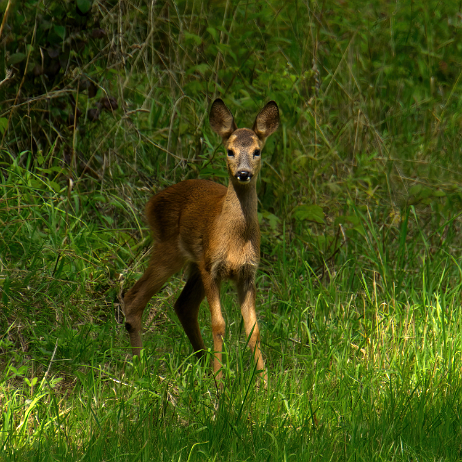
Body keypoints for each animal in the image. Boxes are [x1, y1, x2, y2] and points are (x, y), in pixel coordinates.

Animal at [122, 98, 280, 382]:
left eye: (257, 151)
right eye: (229, 151)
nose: (243, 173)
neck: (235, 240)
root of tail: (151, 203)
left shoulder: (247, 273)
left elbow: (254, 330)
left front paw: (263, 383)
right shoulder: (212, 268)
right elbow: (218, 324)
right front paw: (219, 381)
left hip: (194, 264)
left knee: (182, 305)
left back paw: (201, 362)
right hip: (169, 250)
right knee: (134, 297)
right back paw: (141, 367)